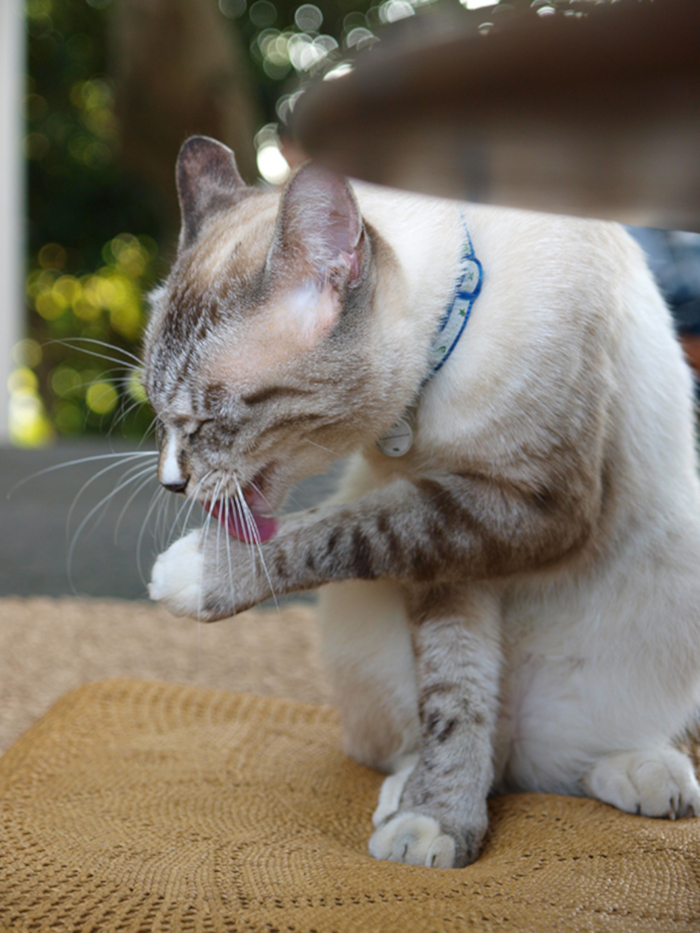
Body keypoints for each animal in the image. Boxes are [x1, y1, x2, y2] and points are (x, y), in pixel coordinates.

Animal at [145, 137, 700, 868]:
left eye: (205, 421)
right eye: (156, 414)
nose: (170, 483)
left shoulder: (532, 507)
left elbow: (338, 534)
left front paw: (199, 572)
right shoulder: (450, 551)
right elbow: (455, 696)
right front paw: (436, 821)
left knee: (577, 759)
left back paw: (647, 774)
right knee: (473, 744)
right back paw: (408, 795)